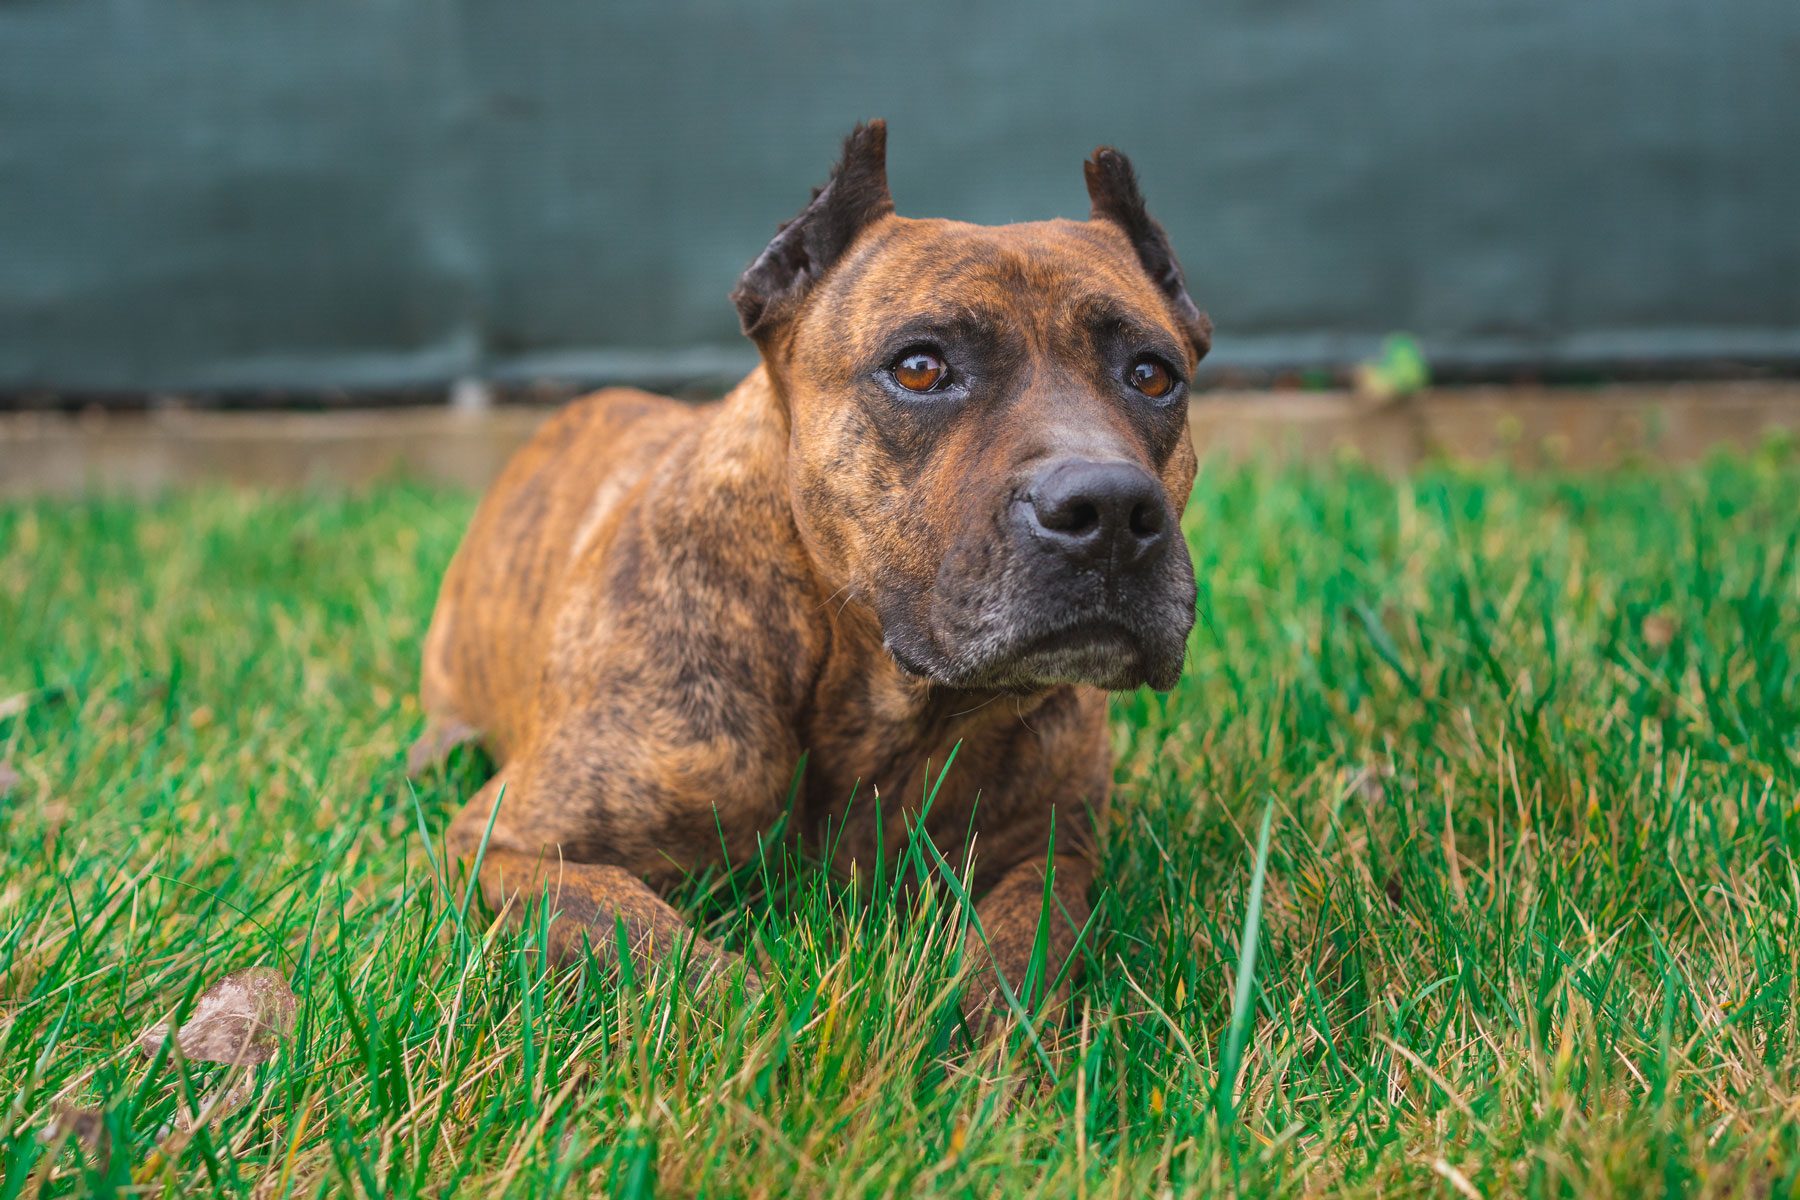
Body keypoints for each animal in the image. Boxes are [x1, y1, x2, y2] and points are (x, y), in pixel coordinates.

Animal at [412, 122, 1209, 1021]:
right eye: (920, 367)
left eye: (1152, 374)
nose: (1109, 509)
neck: (871, 693)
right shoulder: (506, 847)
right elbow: (661, 950)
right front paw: (774, 1027)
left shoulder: (1055, 853)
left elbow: (1019, 945)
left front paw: (974, 1034)